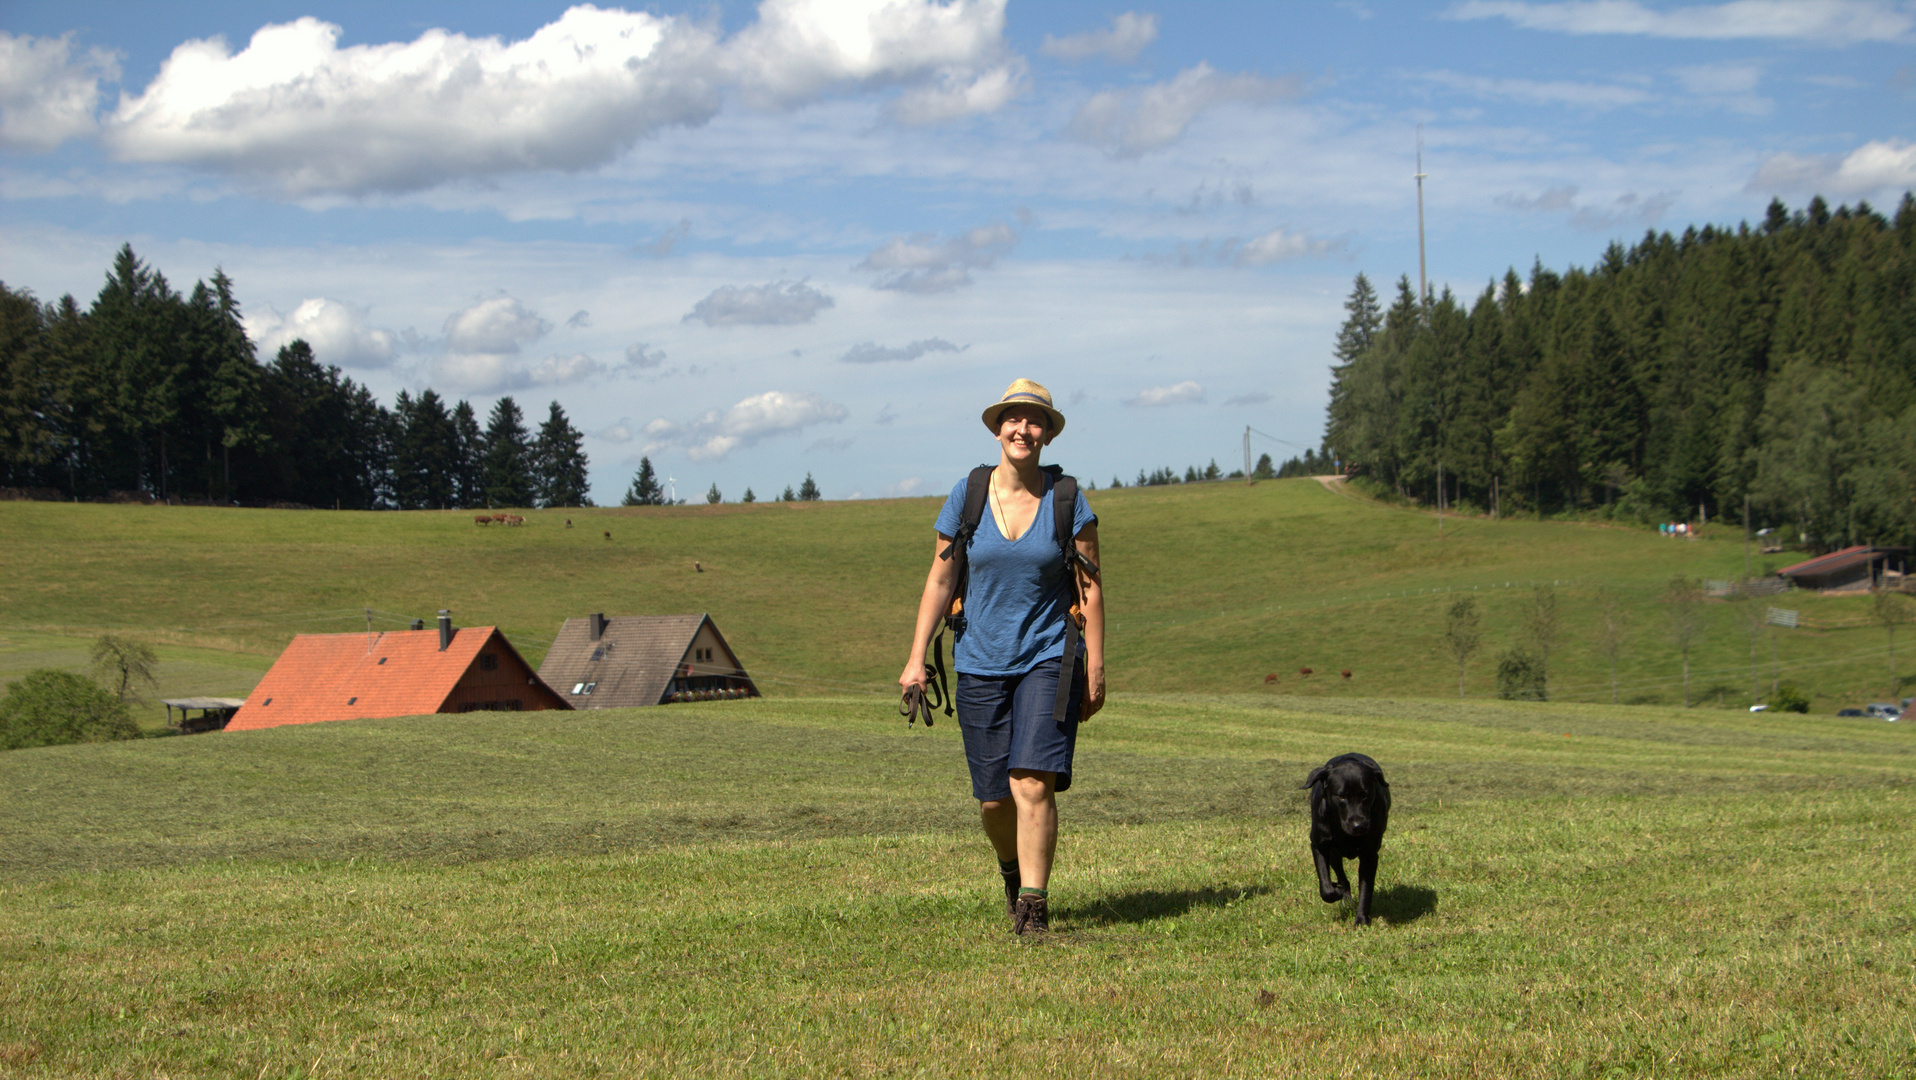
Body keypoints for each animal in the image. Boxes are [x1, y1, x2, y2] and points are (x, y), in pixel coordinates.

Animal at [1302, 754, 1394, 922]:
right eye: (1341, 796)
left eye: (1365, 795)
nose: (1359, 825)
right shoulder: (1319, 845)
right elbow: (1325, 885)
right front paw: (1335, 891)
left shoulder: (1369, 854)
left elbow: (1366, 889)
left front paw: (1362, 920)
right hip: (1334, 855)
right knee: (1343, 879)